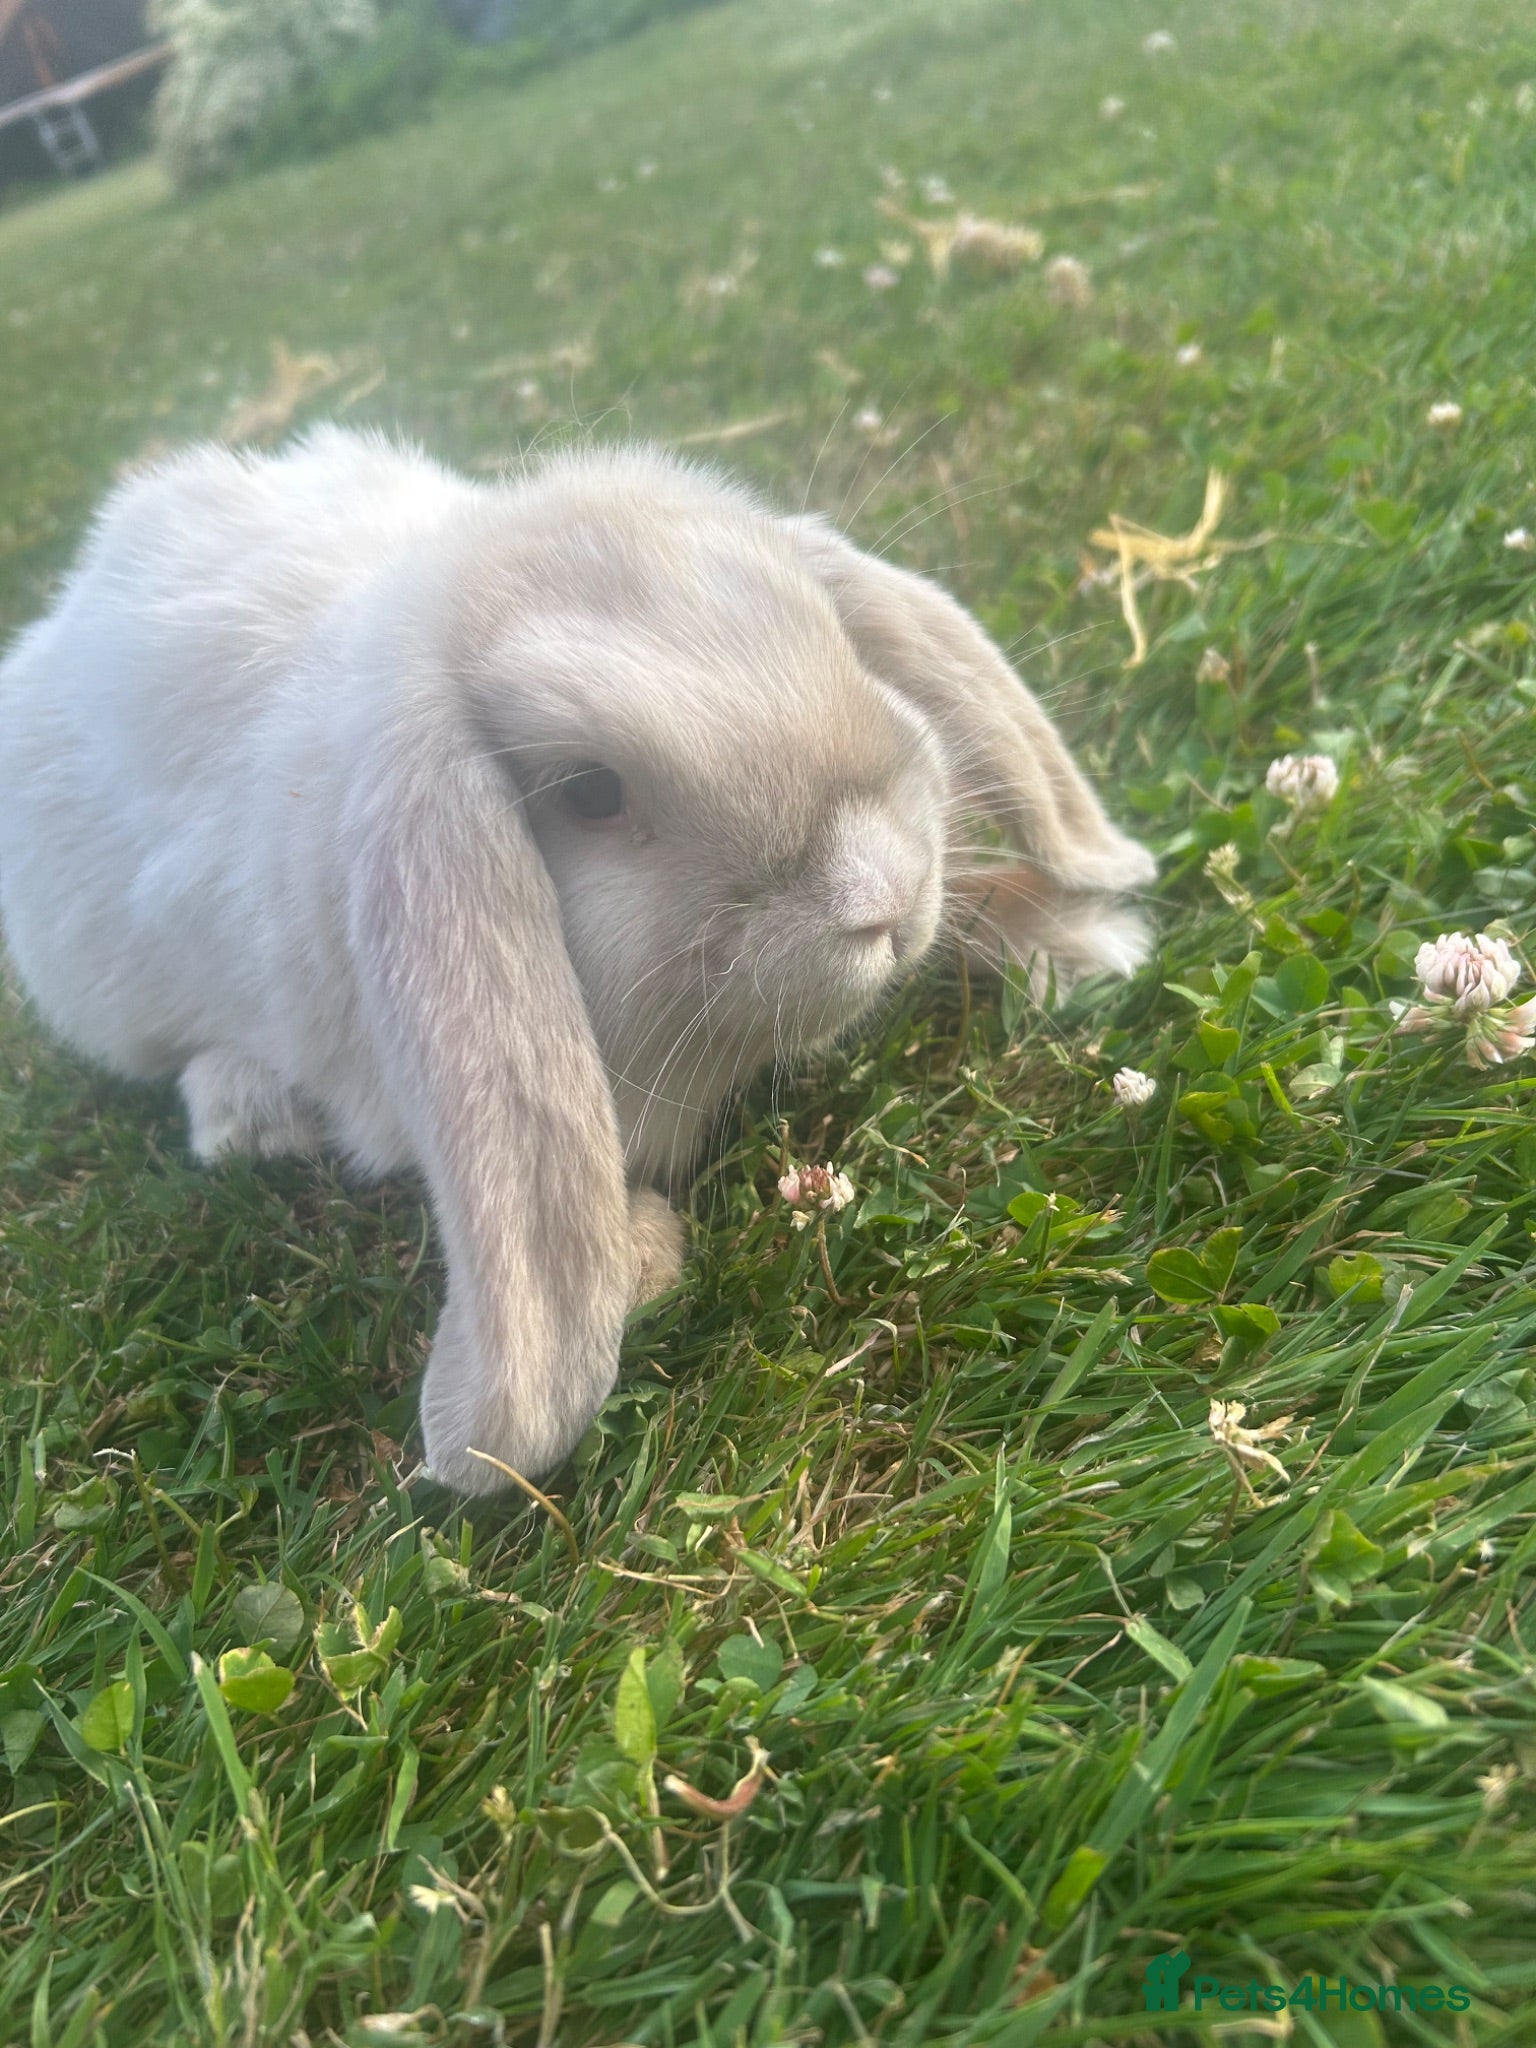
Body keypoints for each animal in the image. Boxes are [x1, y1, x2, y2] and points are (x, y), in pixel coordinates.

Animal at [0, 427, 1154, 1493]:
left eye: (835, 636)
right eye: (592, 792)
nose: (885, 894)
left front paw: (1082, 936)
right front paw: (639, 1256)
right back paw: (249, 1108)